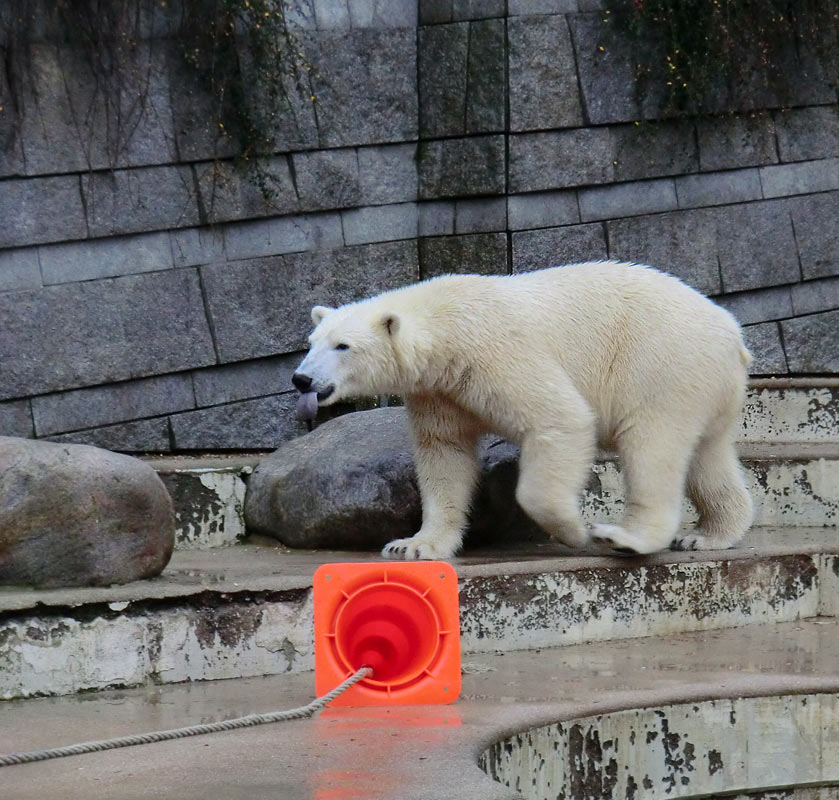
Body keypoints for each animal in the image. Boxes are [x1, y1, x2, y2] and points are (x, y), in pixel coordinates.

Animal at [292, 260, 752, 560]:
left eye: (342, 346)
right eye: (311, 342)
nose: (301, 379)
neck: (445, 327)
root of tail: (733, 333)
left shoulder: (494, 354)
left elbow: (560, 418)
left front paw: (572, 530)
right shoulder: (437, 391)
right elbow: (443, 454)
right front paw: (414, 545)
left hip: (660, 363)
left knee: (651, 448)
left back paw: (627, 538)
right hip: (704, 384)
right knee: (707, 456)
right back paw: (708, 535)